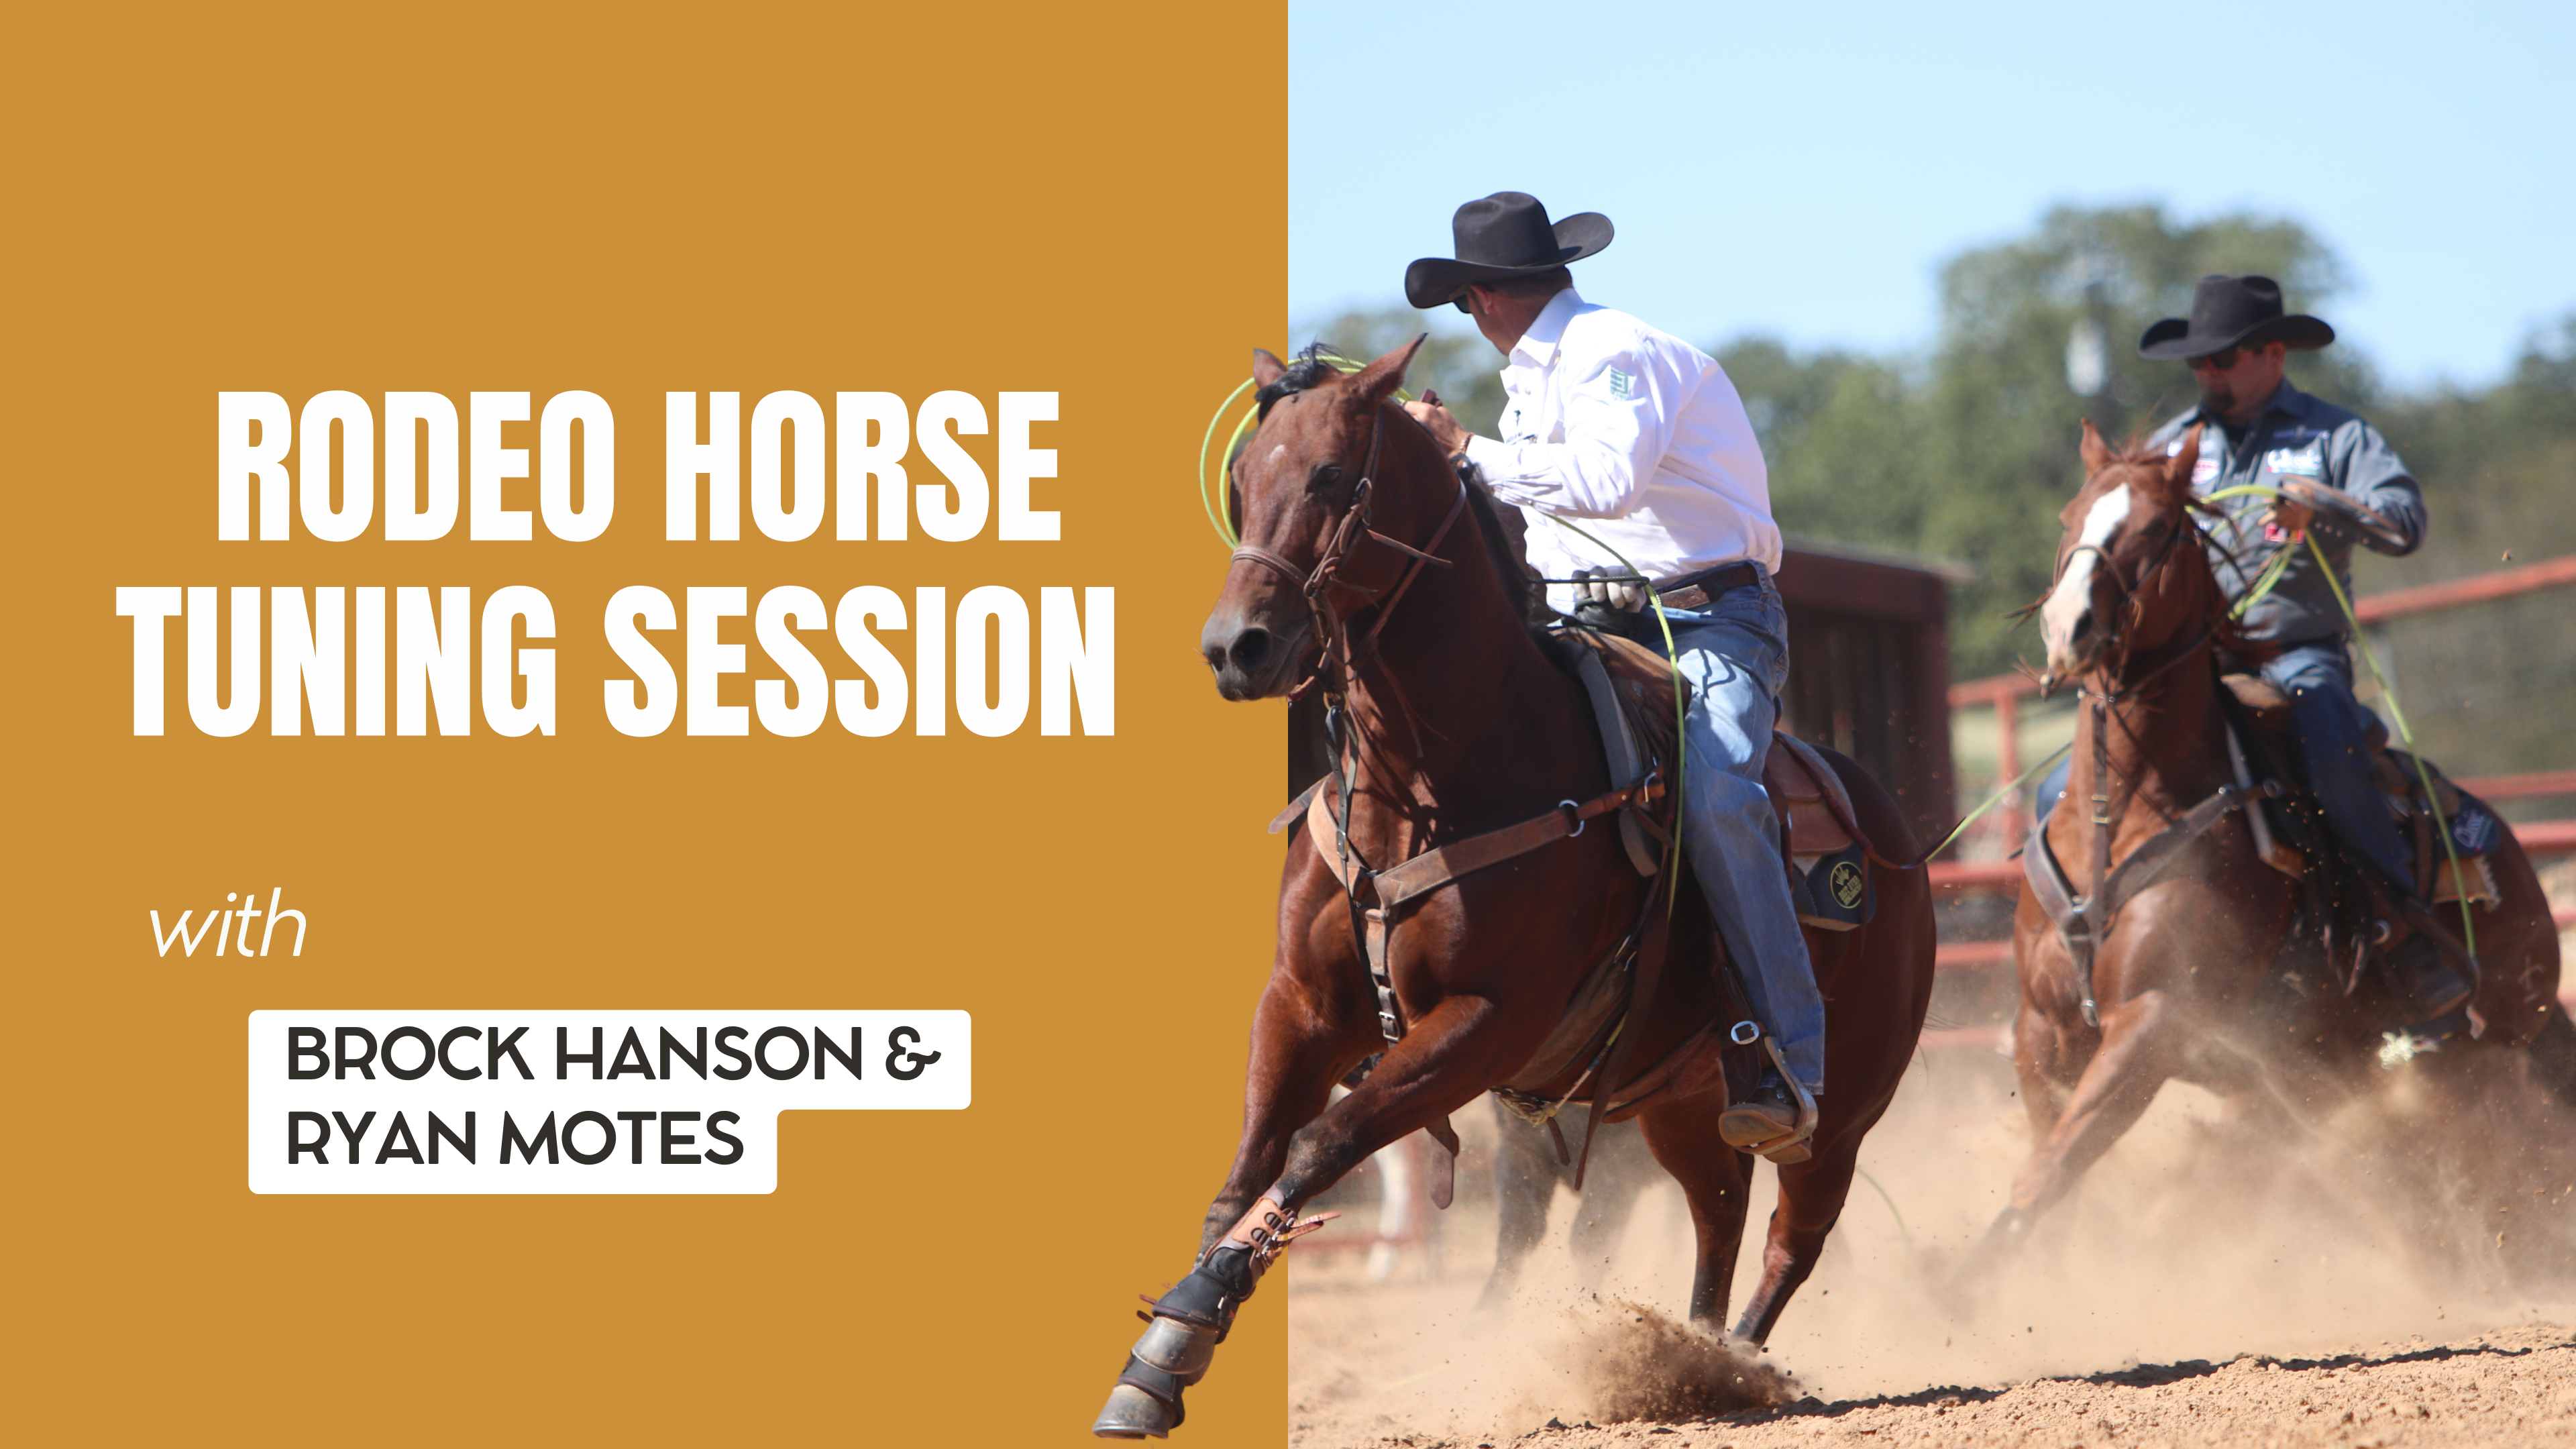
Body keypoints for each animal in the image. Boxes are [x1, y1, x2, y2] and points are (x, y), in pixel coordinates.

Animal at [1092, 338, 1937, 1437]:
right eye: (1241, 483)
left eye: (1333, 475)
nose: (1237, 648)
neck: (1438, 777)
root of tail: (1895, 834)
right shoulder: (1304, 1004)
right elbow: (1242, 1179)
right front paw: (1161, 1361)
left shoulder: (1489, 1019)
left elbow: (1322, 1143)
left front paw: (1184, 1326)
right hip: (1679, 1094)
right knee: (1718, 1205)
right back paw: (1688, 1356)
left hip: (1842, 1109)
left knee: (1794, 1234)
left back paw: (1736, 1365)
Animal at [1966, 419, 2572, 1273]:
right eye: (2069, 517)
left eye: (2156, 528)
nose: (2067, 626)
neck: (2124, 821)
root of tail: (2506, 848)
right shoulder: (2042, 1027)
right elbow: (2057, 1171)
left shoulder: (2155, 1021)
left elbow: (2050, 1171)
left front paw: (1953, 1287)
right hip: (2321, 1068)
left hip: (2481, 1042)